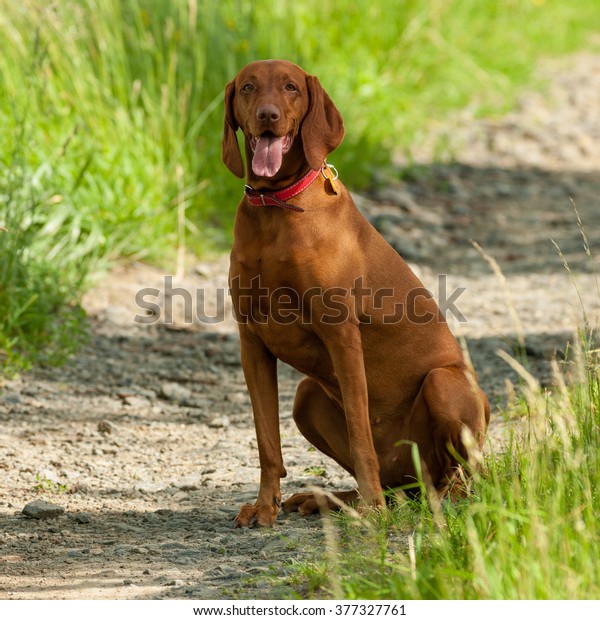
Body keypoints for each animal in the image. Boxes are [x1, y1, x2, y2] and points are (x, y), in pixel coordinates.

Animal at [223, 59, 490, 528]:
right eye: (248, 87)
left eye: (291, 87)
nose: (268, 115)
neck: (276, 209)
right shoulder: (252, 343)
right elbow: (267, 441)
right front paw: (264, 506)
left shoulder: (342, 337)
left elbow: (361, 433)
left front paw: (372, 512)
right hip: (307, 397)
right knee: (399, 485)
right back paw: (329, 499)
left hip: (444, 384)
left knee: (458, 479)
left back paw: (423, 500)